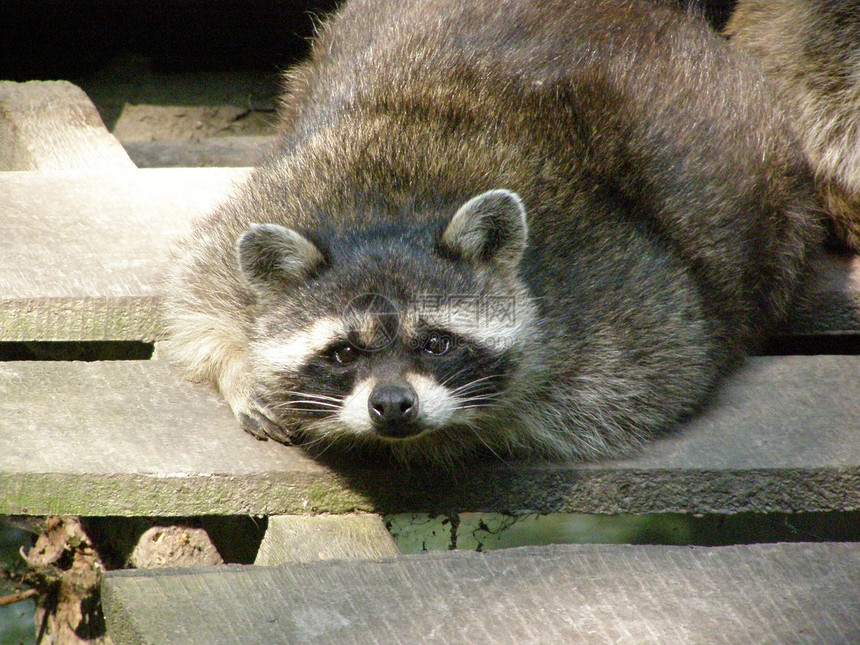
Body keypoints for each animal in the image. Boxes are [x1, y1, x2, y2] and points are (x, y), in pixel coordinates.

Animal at [163, 0, 820, 466]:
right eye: (344, 352)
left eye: (437, 342)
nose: (393, 407)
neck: (389, 206)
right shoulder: (282, 191)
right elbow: (193, 299)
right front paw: (240, 369)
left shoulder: (629, 294)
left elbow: (644, 383)